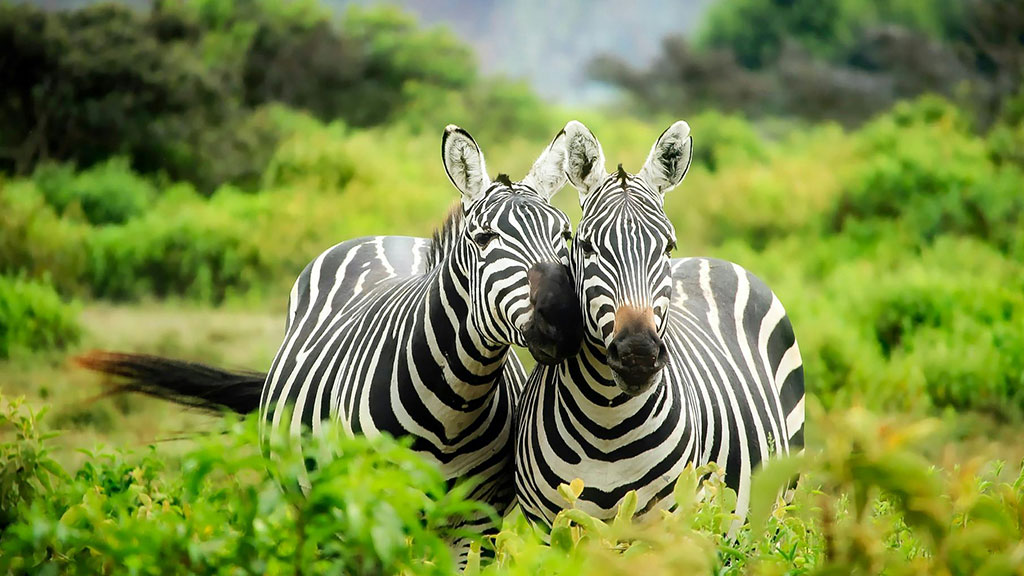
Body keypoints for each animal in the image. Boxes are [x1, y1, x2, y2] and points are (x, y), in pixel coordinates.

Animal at [79, 124, 585, 553]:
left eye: (565, 234)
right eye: (483, 239)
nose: (563, 319)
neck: (454, 406)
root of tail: (385, 236)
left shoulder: (475, 522)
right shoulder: (368, 508)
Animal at [516, 120, 802, 528]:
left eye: (668, 246)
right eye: (585, 246)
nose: (637, 354)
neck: (607, 423)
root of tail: (712, 259)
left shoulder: (669, 525)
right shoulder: (550, 527)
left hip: (781, 501)